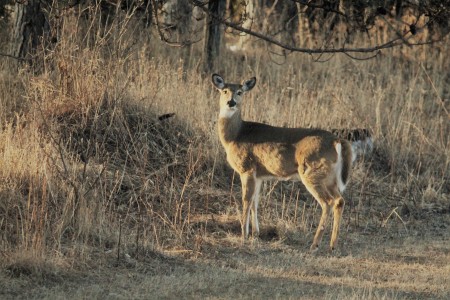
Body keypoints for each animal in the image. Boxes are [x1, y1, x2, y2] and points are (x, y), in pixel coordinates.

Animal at [211, 73, 356, 251]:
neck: (235, 136)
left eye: (240, 92)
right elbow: (255, 202)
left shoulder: (247, 168)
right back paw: (332, 245)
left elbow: (246, 200)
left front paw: (244, 235)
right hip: (329, 177)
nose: (231, 102)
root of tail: (337, 141)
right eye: (224, 90)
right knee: (339, 201)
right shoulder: (259, 175)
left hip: (312, 171)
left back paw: (315, 244)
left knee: (328, 202)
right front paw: (256, 233)